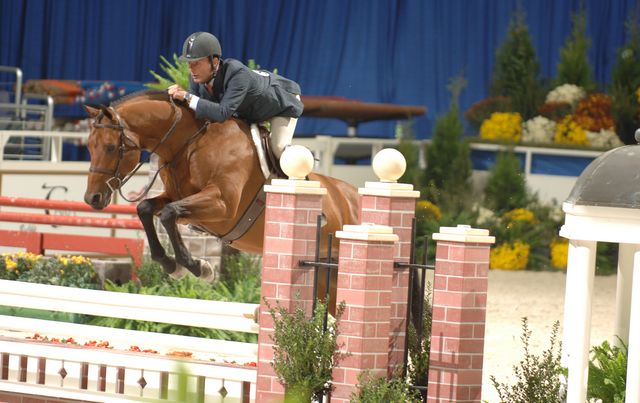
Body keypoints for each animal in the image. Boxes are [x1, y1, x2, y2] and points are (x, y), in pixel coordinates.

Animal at [82, 91, 360, 296]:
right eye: (89, 146)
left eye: (109, 147)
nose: (92, 199)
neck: (189, 144)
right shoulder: (179, 198)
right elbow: (147, 209)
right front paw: (172, 266)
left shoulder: (222, 205)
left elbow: (170, 214)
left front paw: (199, 268)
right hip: (327, 279)